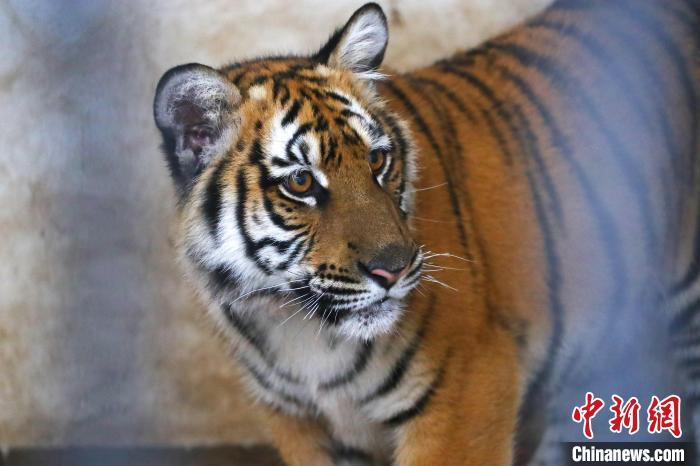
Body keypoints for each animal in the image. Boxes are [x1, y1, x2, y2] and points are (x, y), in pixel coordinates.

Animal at [152, 0, 700, 464]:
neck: (299, 330)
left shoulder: (467, 391)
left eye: (377, 161)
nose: (392, 270)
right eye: (301, 182)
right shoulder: (299, 422)